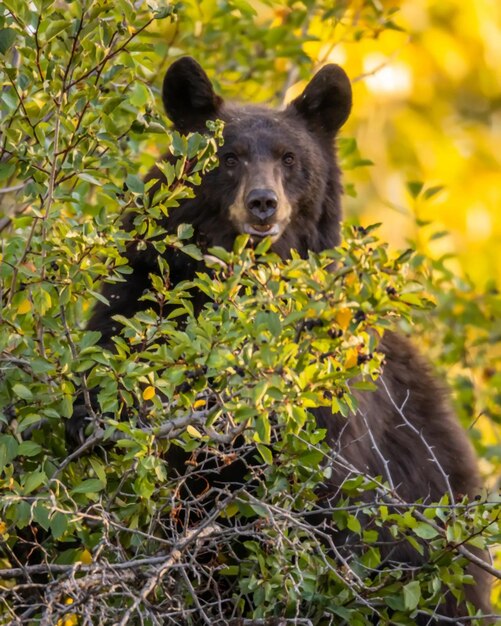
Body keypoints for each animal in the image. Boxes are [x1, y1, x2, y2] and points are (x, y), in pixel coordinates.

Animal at [69, 57, 492, 620]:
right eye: (228, 157)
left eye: (290, 158)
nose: (263, 203)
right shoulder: (137, 308)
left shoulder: (327, 405)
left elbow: (326, 496)